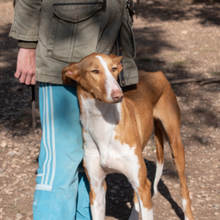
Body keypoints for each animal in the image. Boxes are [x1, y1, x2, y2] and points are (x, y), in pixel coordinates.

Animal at [62, 53, 194, 220]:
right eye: (95, 71)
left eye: (113, 69)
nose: (118, 95)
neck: (103, 126)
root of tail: (156, 73)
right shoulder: (96, 188)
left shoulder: (143, 187)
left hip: (174, 143)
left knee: (183, 189)